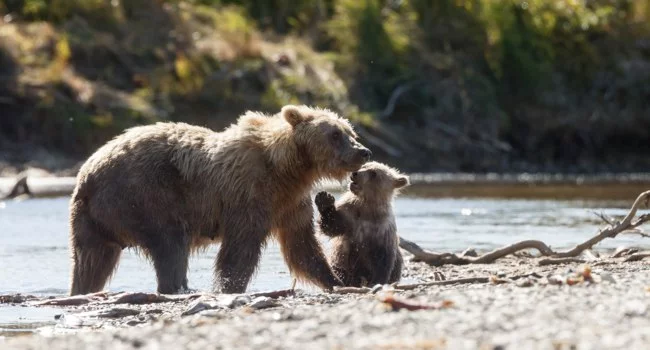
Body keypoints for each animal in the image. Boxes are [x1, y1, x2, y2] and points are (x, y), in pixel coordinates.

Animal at [67, 104, 370, 296]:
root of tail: (86, 174)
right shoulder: (249, 195)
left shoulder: (290, 204)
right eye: (335, 134)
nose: (363, 151)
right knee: (170, 244)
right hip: (144, 196)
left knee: (91, 261)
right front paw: (229, 286)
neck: (287, 169)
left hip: (92, 220)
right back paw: (178, 287)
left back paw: (83, 289)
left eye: (350, 132)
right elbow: (241, 249)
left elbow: (303, 247)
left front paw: (336, 280)